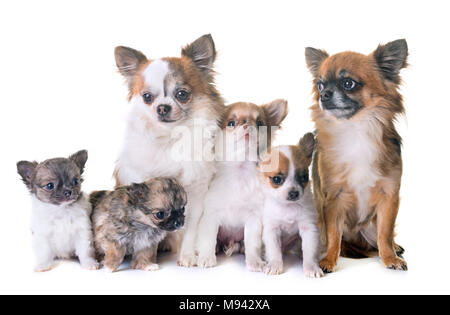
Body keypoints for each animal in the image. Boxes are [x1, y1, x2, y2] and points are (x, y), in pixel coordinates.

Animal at [112, 34, 225, 266]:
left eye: (182, 94)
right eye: (147, 97)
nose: (162, 107)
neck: (170, 138)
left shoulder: (195, 194)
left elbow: (190, 229)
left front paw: (187, 256)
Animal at [197, 100, 288, 272]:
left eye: (260, 123)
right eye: (231, 123)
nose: (247, 124)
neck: (240, 170)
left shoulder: (253, 219)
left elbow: (252, 243)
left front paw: (254, 262)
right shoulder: (211, 216)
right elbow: (208, 239)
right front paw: (206, 257)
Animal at [260, 133, 324, 278]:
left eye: (304, 177)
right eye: (276, 179)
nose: (294, 193)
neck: (288, 207)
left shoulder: (309, 228)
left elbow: (309, 251)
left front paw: (311, 267)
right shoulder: (272, 230)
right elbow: (274, 250)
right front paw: (275, 265)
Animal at [306, 39, 408, 272]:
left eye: (348, 83)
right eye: (320, 85)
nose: (324, 95)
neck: (356, 129)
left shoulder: (389, 195)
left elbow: (385, 233)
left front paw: (390, 258)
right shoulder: (333, 197)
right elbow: (333, 234)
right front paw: (328, 260)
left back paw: (395, 248)